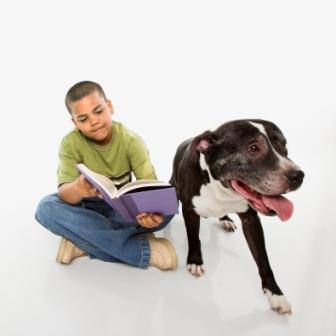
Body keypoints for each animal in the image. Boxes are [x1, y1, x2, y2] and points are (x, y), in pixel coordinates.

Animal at [171, 119, 304, 314]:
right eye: (253, 147)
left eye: (284, 146)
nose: (298, 176)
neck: (221, 188)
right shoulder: (189, 210)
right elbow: (194, 238)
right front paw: (195, 261)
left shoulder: (251, 220)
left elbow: (263, 259)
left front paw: (275, 294)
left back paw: (225, 219)